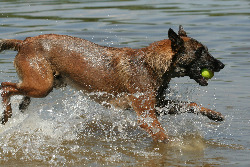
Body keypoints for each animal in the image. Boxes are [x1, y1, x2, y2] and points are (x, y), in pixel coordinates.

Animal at [0, 25, 225, 142]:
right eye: (200, 52)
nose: (221, 65)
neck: (151, 64)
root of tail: (25, 41)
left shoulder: (159, 105)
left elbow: (191, 105)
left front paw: (213, 114)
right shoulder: (147, 116)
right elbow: (164, 137)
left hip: (49, 82)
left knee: (17, 90)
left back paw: (21, 106)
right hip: (42, 85)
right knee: (5, 86)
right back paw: (7, 114)